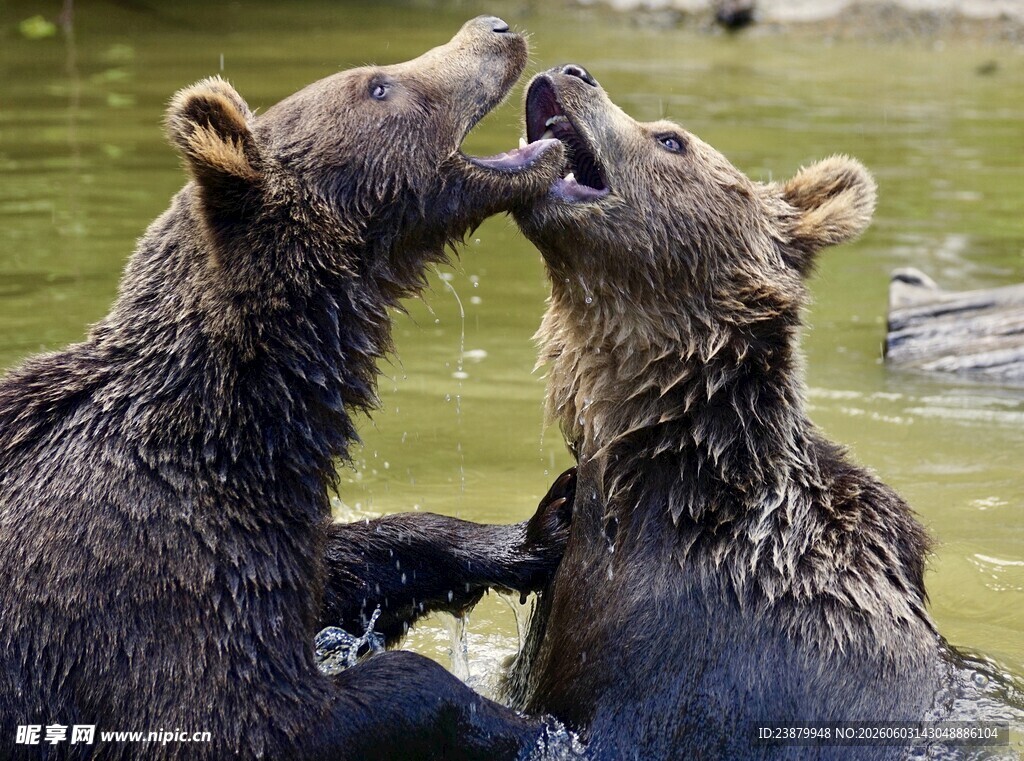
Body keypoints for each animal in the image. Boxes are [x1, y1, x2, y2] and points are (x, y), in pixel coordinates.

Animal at [0, 17, 576, 761]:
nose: (495, 28)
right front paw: (528, 724)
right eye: (378, 85)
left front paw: (542, 524)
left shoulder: (267, 532)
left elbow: (352, 563)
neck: (245, 416)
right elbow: (258, 715)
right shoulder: (139, 577)